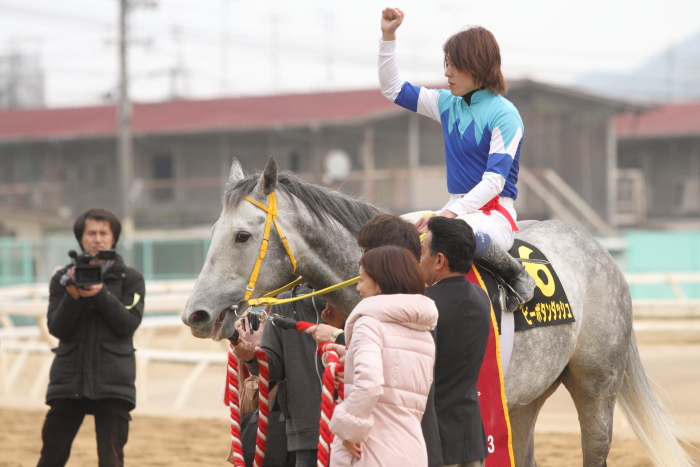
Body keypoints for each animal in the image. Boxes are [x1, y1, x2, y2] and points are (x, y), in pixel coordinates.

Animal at [182, 159, 696, 467]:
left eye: (242, 235)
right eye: (213, 232)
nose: (196, 314)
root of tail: (601, 251)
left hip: (596, 384)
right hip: (523, 400)